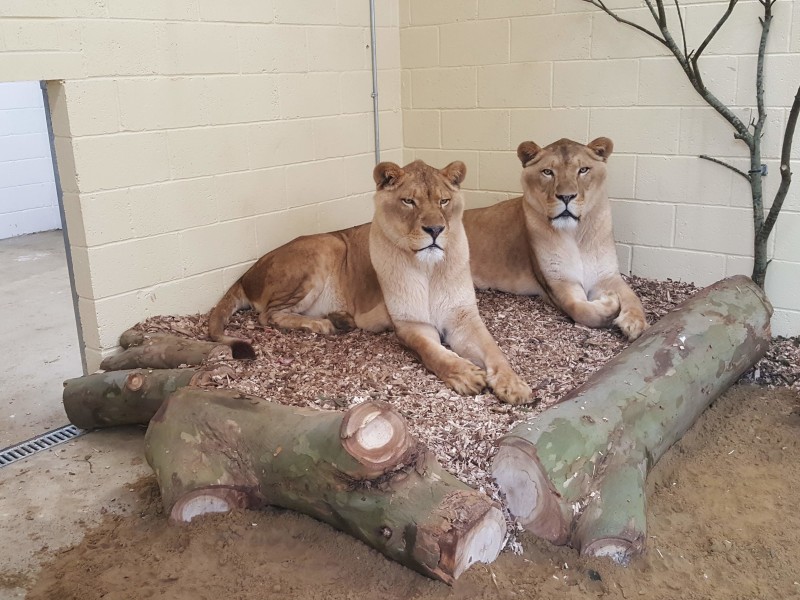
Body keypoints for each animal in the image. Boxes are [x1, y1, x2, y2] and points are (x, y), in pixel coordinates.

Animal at [209, 159, 532, 404]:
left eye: (444, 201)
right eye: (409, 201)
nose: (435, 230)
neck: (428, 270)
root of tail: (246, 274)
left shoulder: (463, 317)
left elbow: (494, 350)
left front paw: (514, 385)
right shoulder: (410, 324)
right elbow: (435, 354)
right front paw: (465, 375)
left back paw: (340, 319)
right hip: (329, 245)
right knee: (268, 315)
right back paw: (323, 324)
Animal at [463, 137, 647, 341]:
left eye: (583, 170)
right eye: (547, 172)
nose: (566, 196)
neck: (576, 234)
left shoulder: (606, 275)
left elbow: (633, 296)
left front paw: (634, 322)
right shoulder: (559, 282)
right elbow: (581, 310)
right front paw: (611, 301)